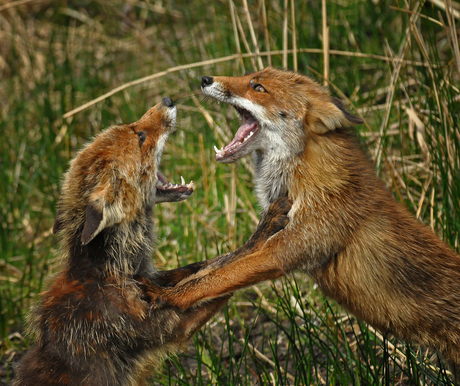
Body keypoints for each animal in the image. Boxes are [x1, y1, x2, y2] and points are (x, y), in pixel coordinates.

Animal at [13, 95, 292, 386]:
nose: (167, 100)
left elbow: (209, 266)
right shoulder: (166, 325)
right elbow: (221, 274)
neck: (110, 271)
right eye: (141, 136)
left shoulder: (154, 278)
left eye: (134, 128)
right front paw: (266, 229)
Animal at [146, 68, 460, 376]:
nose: (205, 79)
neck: (306, 182)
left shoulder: (287, 249)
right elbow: (214, 266)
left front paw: (168, 296)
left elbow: (215, 278)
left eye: (258, 87)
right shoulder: (278, 236)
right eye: (248, 75)